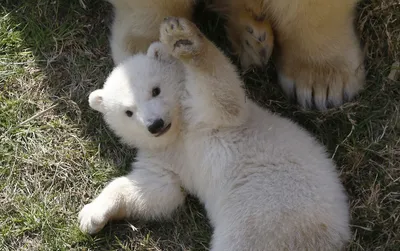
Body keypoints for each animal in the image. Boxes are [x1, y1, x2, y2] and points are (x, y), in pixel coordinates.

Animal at [80, 16, 350, 250]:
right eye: (128, 112)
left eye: (155, 90)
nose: (155, 124)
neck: (179, 131)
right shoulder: (165, 155)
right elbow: (158, 189)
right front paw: (91, 215)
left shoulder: (205, 117)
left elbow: (223, 99)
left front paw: (183, 39)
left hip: (271, 212)